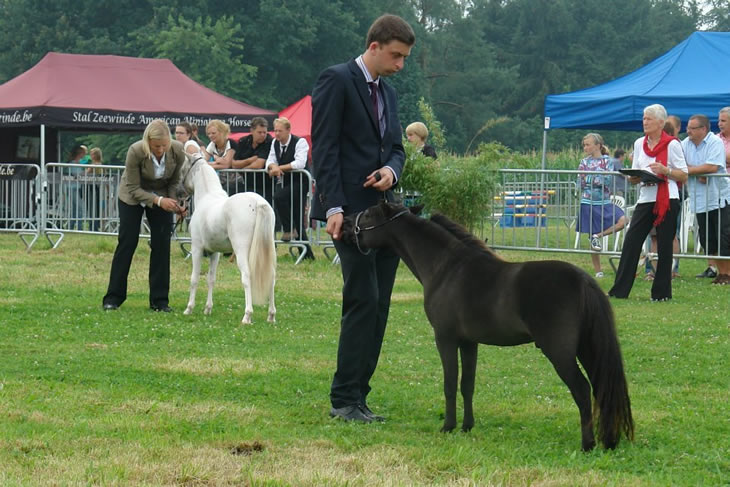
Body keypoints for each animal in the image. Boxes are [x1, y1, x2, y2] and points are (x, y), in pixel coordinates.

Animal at [179, 154, 276, 326]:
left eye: (183, 167)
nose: (179, 193)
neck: (207, 198)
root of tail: (258, 202)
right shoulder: (214, 253)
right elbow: (211, 279)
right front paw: (207, 309)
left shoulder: (197, 249)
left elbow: (194, 278)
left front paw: (189, 309)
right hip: (268, 249)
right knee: (271, 278)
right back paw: (271, 315)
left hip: (241, 250)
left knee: (246, 276)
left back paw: (247, 316)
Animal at [342, 200, 632, 452]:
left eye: (368, 215)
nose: (344, 224)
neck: (447, 269)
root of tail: (584, 280)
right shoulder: (469, 343)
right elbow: (467, 384)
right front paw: (467, 426)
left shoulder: (445, 338)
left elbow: (450, 383)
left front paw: (448, 427)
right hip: (586, 348)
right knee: (600, 388)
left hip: (560, 353)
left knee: (582, 390)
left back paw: (588, 444)